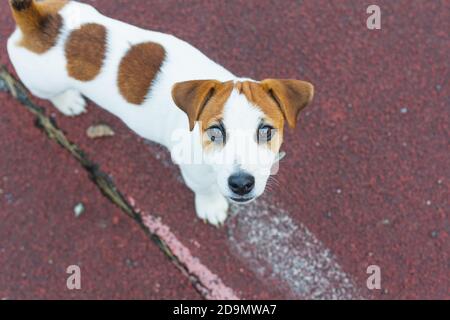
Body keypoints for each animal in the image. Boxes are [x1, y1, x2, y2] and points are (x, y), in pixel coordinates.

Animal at [8, 0, 314, 225]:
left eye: (266, 131)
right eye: (215, 132)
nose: (241, 184)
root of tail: (37, 22)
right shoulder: (193, 170)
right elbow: (204, 189)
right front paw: (212, 206)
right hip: (42, 83)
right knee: (50, 93)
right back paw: (68, 101)